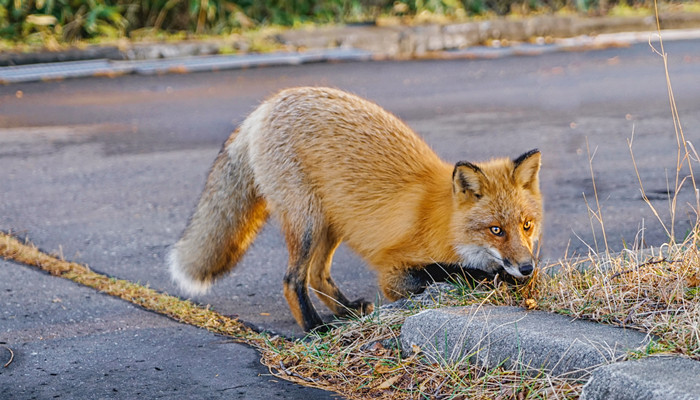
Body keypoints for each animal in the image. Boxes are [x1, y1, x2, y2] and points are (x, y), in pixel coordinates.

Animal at [168, 85, 540, 332]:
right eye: (495, 230)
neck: (446, 223)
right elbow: (450, 271)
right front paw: (488, 278)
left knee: (317, 275)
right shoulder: (394, 273)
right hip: (307, 222)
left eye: (526, 225)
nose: (526, 268)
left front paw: (511, 280)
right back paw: (315, 328)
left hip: (331, 222)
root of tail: (269, 103)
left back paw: (345, 310)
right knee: (293, 279)